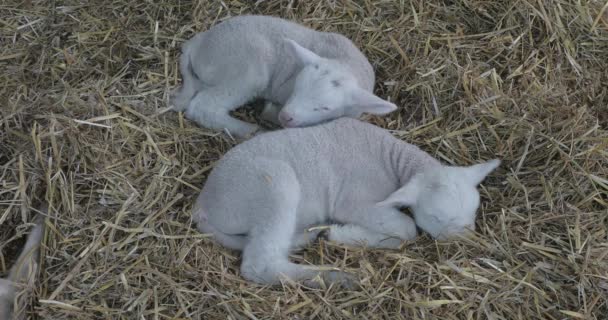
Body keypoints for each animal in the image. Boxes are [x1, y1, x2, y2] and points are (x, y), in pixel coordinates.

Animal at [169, 14, 396, 138]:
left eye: (325, 107)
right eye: (296, 87)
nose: (286, 116)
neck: (344, 62)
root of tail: (197, 43)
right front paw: (270, 114)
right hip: (245, 70)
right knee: (203, 108)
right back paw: (251, 130)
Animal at [194, 117, 498, 288]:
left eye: (474, 211)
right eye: (435, 217)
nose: (467, 241)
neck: (392, 161)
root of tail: (204, 204)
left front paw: (338, 234)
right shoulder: (357, 201)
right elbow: (408, 228)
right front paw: (345, 233)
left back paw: (307, 237)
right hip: (273, 187)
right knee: (259, 265)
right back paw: (335, 278)